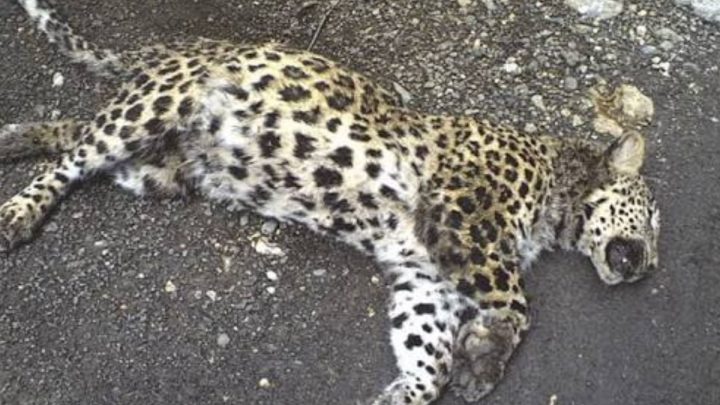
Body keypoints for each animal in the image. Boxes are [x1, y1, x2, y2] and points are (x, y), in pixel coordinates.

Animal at [0, 1, 661, 404]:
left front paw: (410, 391)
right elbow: (518, 303)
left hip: (158, 168)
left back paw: (15, 136)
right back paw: (17, 212)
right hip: (154, 108)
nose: (649, 267)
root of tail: (169, 49)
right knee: (73, 157)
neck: (556, 188)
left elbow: (427, 351)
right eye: (654, 218)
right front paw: (485, 357)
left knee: (73, 132)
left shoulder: (427, 276)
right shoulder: (464, 213)